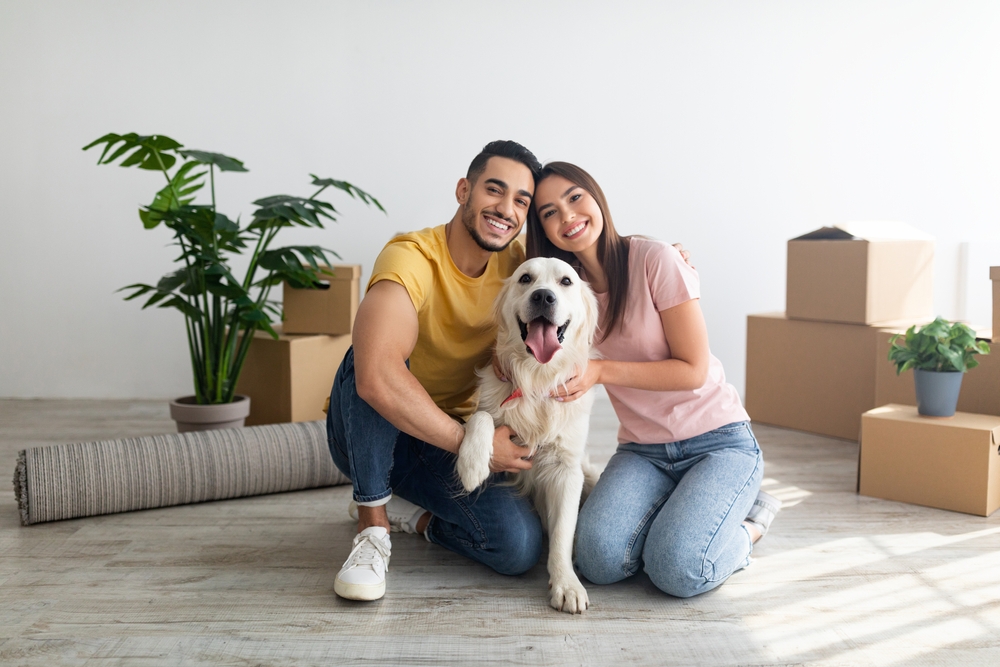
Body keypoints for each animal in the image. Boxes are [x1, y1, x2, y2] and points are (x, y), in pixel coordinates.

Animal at [456, 256, 600, 616]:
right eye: (525, 279)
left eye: (566, 281)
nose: (543, 297)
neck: (536, 378)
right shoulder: (491, 407)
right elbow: (481, 417)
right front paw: (472, 465)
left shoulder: (567, 470)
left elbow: (562, 533)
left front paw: (567, 584)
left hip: (590, 474)